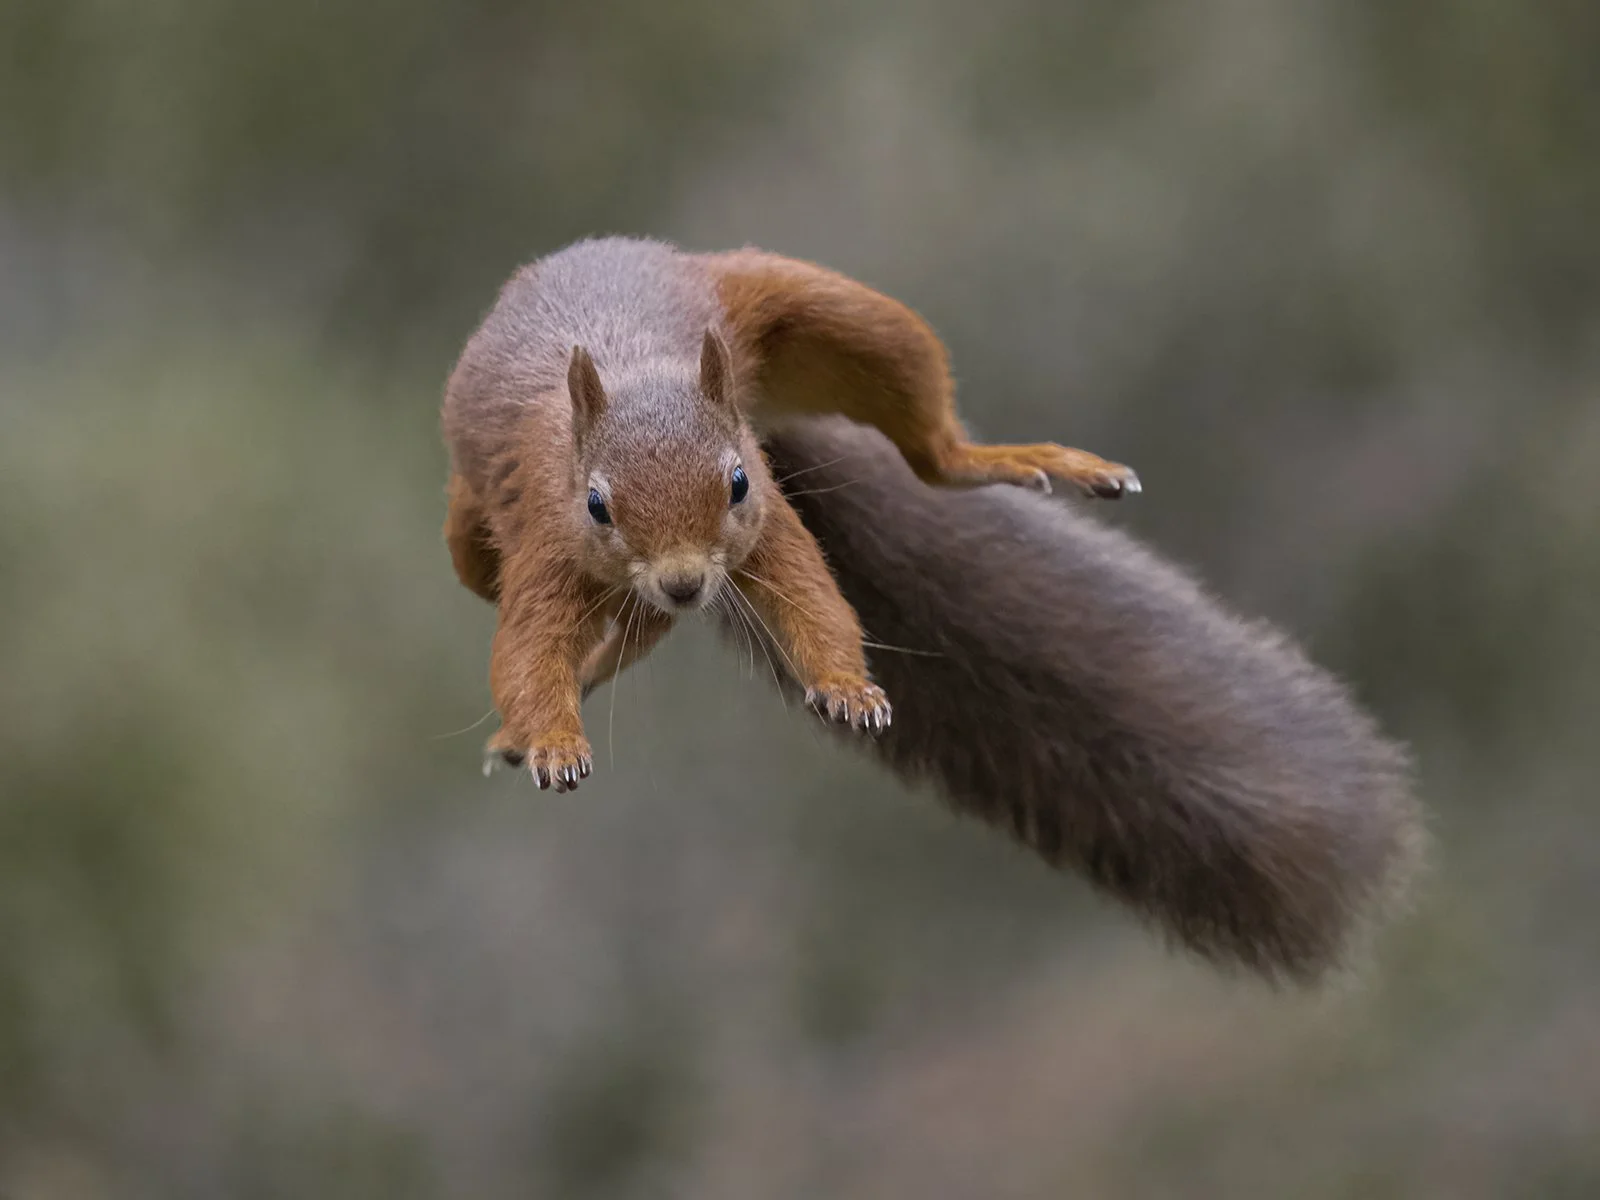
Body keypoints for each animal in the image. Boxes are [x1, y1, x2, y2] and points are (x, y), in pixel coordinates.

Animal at [442, 236, 1423, 983]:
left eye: (737, 482)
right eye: (598, 505)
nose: (685, 579)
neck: (643, 371)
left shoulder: (768, 529)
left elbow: (815, 600)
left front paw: (845, 686)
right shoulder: (548, 546)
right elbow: (528, 654)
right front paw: (552, 737)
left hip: (830, 313)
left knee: (933, 452)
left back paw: (1021, 458)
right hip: (471, 535)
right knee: (580, 607)